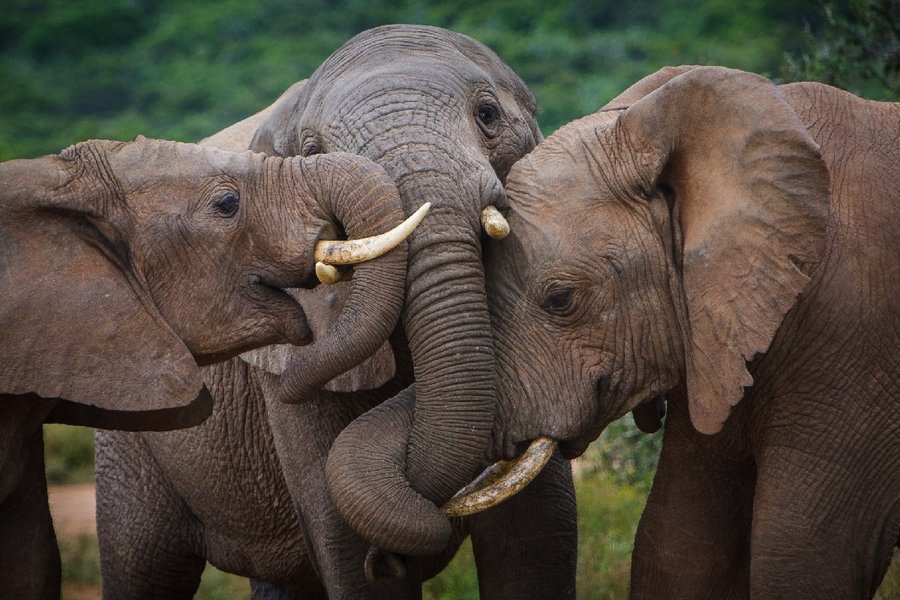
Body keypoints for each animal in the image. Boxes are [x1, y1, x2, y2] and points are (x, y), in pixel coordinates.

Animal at [96, 24, 576, 600]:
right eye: (311, 151)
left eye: (488, 115)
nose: (386, 559)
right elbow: (344, 542)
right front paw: (374, 565)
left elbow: (536, 533)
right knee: (143, 564)